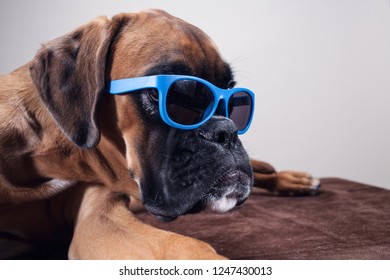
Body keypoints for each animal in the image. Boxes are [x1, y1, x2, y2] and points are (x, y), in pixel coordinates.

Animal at [0, 9, 316, 260]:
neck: (56, 157)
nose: (227, 130)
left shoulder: (99, 217)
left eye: (235, 100)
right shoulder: (101, 223)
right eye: (167, 96)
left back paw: (295, 179)